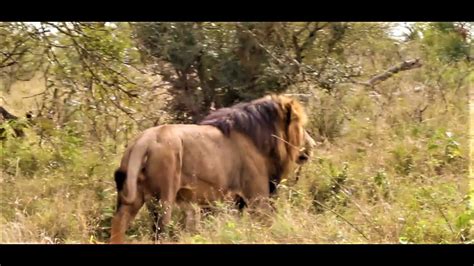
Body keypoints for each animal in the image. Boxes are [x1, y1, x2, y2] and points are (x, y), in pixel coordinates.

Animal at [110, 94, 314, 244]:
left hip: (132, 197)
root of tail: (143, 140)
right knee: (159, 233)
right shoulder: (258, 197)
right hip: (164, 197)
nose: (312, 144)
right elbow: (266, 226)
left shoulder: (222, 203)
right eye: (302, 127)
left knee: (118, 225)